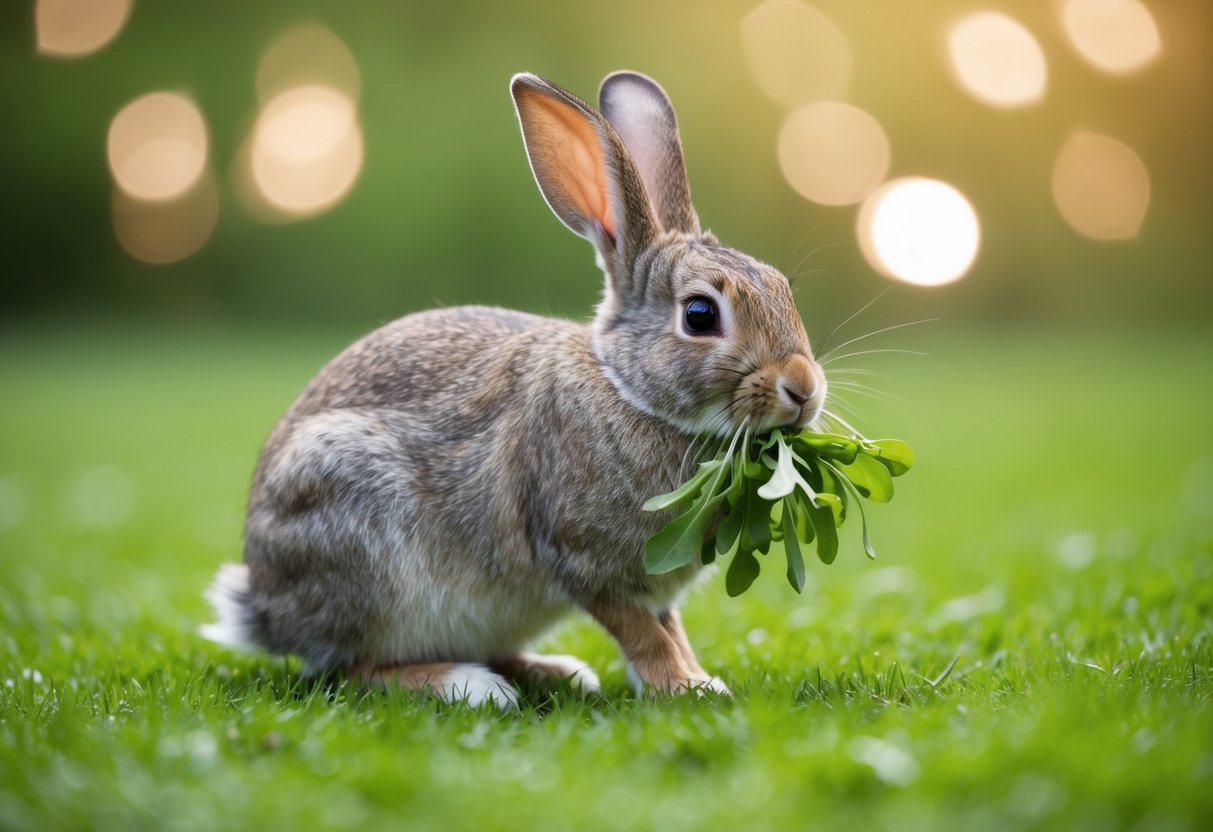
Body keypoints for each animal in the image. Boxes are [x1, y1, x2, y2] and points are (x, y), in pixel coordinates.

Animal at [202, 70, 828, 709]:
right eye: (700, 315)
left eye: (783, 287)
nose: (804, 389)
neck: (628, 390)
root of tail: (267, 610)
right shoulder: (585, 561)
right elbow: (643, 634)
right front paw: (685, 688)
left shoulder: (651, 585)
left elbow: (669, 629)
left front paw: (696, 677)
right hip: (365, 550)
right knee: (354, 668)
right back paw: (473, 687)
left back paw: (554, 671)